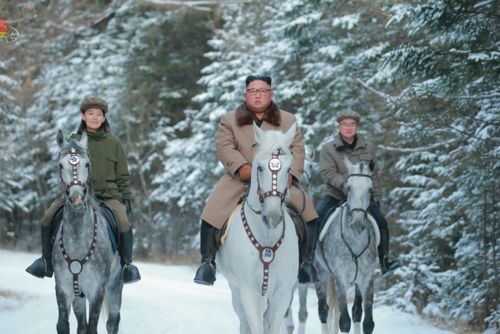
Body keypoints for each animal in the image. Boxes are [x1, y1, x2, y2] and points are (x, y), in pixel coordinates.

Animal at [52, 131, 123, 334]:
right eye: (60, 165)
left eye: (87, 164)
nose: (76, 199)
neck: (78, 239)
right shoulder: (63, 289)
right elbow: (63, 325)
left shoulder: (97, 290)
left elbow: (93, 327)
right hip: (78, 295)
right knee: (81, 325)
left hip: (115, 285)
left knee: (113, 322)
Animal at [217, 122, 298, 334]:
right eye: (260, 168)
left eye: (289, 169)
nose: (272, 215)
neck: (267, 238)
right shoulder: (248, 291)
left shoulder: (283, 293)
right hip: (236, 290)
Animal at [316, 159, 378, 334]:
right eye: (349, 187)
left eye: (370, 189)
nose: (357, 224)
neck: (355, 240)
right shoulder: (340, 280)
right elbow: (344, 322)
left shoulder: (367, 279)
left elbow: (368, 323)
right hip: (321, 274)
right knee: (323, 310)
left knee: (356, 312)